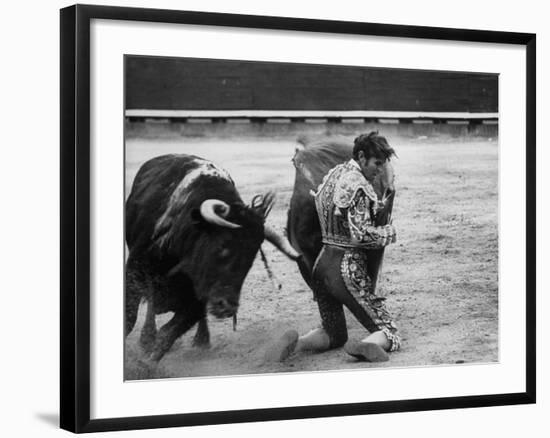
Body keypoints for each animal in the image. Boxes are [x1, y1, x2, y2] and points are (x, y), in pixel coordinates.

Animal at [126, 154, 302, 362]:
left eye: (251, 259)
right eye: (223, 248)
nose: (227, 307)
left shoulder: (198, 298)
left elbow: (168, 335)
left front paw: (145, 365)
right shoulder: (134, 271)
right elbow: (130, 318)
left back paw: (201, 340)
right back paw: (146, 338)